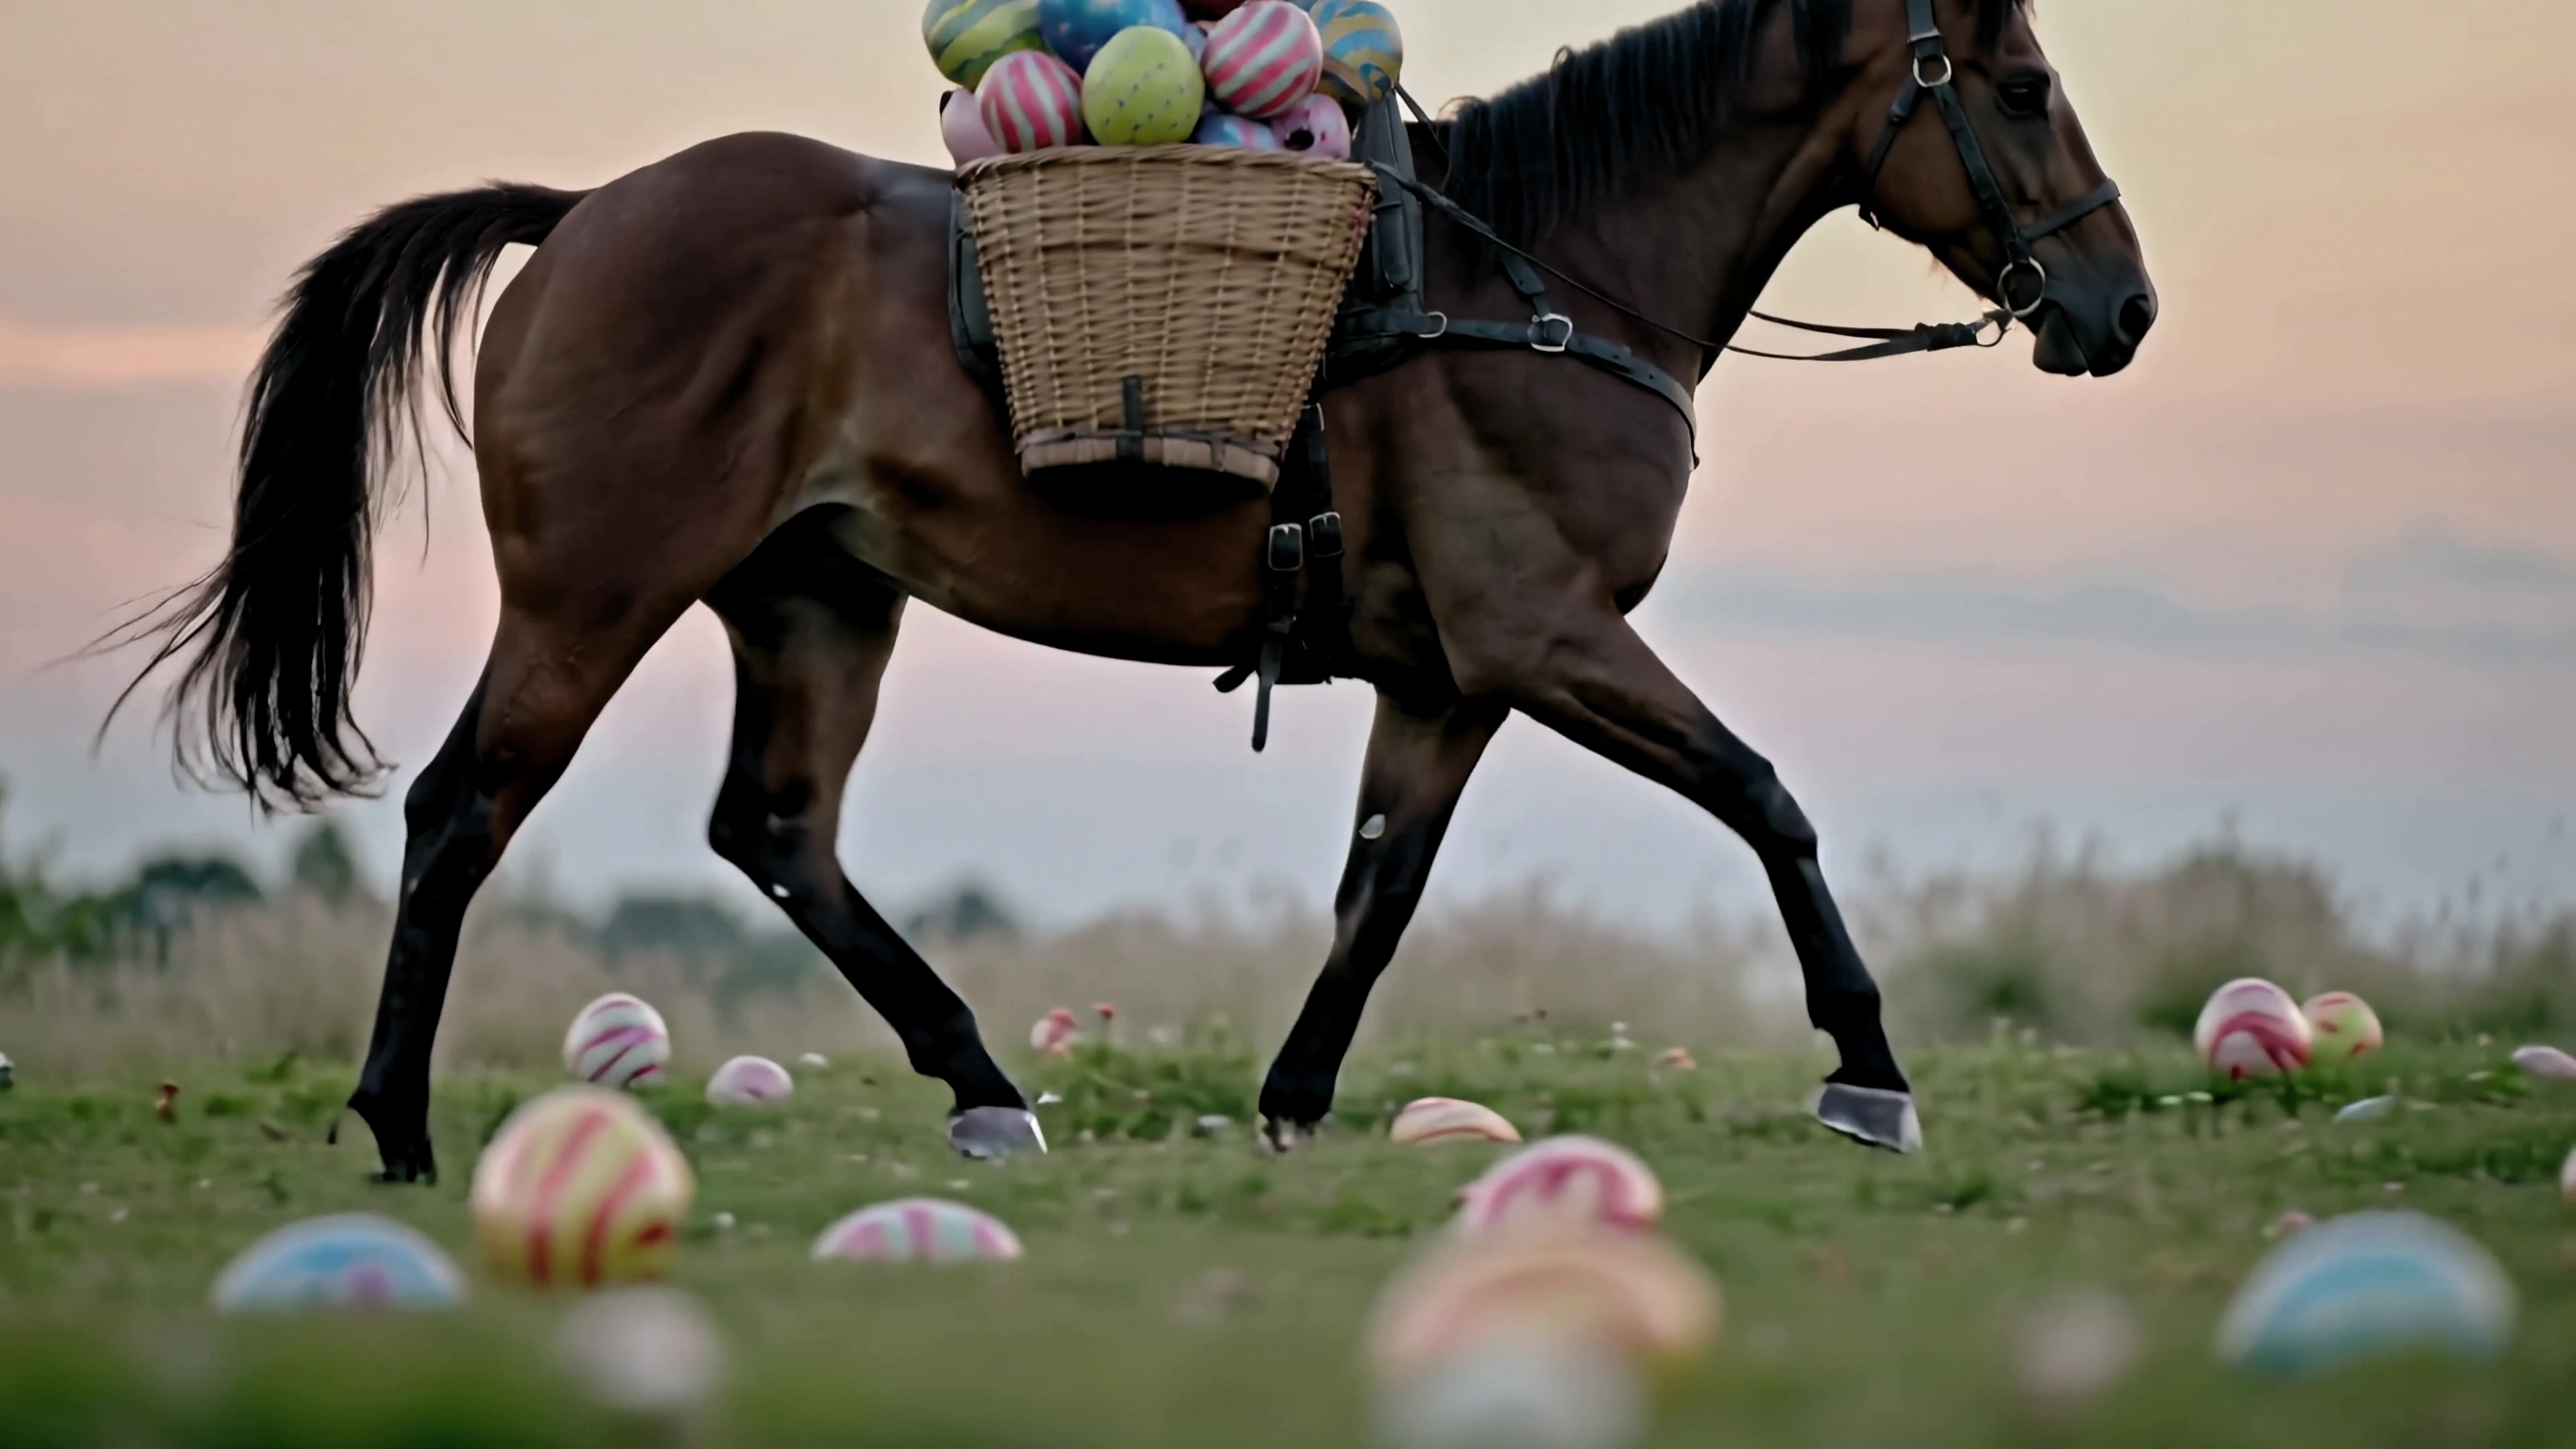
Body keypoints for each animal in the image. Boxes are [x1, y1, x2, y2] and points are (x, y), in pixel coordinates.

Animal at [117, 0, 2153, 1181]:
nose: (2118, 306)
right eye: (2025, 87)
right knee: (461, 814)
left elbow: (1379, 895)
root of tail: (585, 211)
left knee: (775, 832)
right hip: (591, 604)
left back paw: (977, 1079)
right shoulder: (1548, 636)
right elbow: (1767, 801)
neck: (1534, 280)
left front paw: (1296, 1098)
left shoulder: (1450, 682)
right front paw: (1868, 1063)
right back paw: (398, 1123)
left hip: (815, 606)